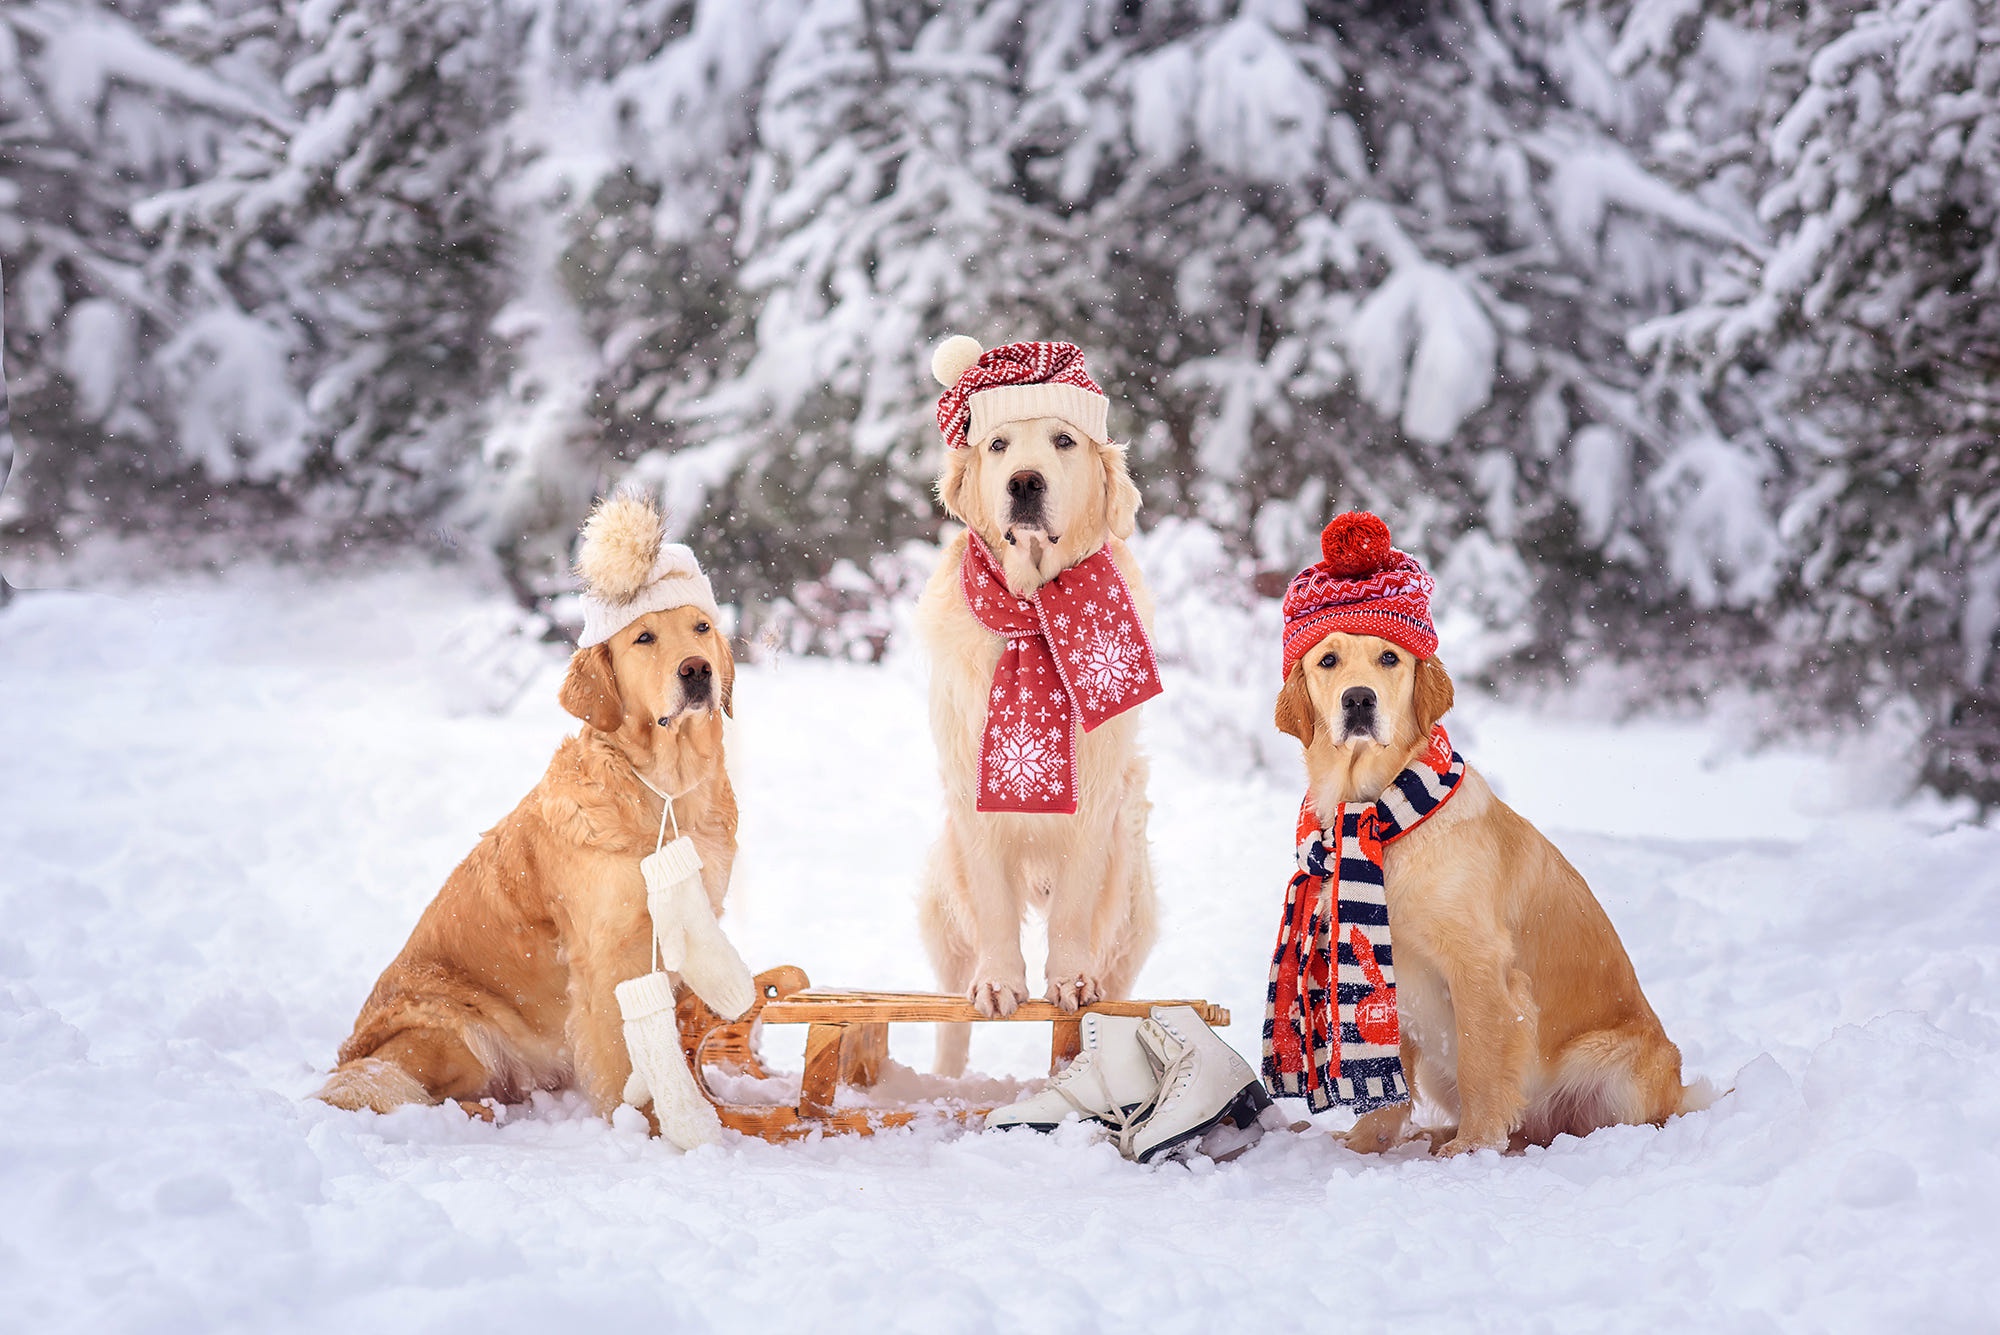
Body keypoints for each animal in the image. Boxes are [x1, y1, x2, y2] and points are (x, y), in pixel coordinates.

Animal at [318, 499, 736, 1127]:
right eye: (644, 637)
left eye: (702, 628)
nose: (695, 670)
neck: (663, 792)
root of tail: (349, 1052)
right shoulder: (606, 958)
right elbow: (620, 1061)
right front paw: (640, 1130)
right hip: (452, 1026)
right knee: (405, 1090)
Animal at [916, 335, 1160, 1071]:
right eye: (997, 445)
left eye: (1063, 440)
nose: (1025, 481)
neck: (1034, 611)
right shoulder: (974, 798)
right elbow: (995, 913)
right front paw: (1000, 981)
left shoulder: (1097, 802)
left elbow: (1075, 908)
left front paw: (1069, 980)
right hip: (943, 894)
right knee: (949, 1012)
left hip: (1132, 890)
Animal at [1272, 635, 1696, 1159]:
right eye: (1327, 661)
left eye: (1389, 658)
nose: (1358, 700)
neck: (1380, 813)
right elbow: (1389, 1083)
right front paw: (1365, 1143)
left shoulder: (1478, 965)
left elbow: (1481, 1062)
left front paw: (1473, 1146)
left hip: (1616, 1069)